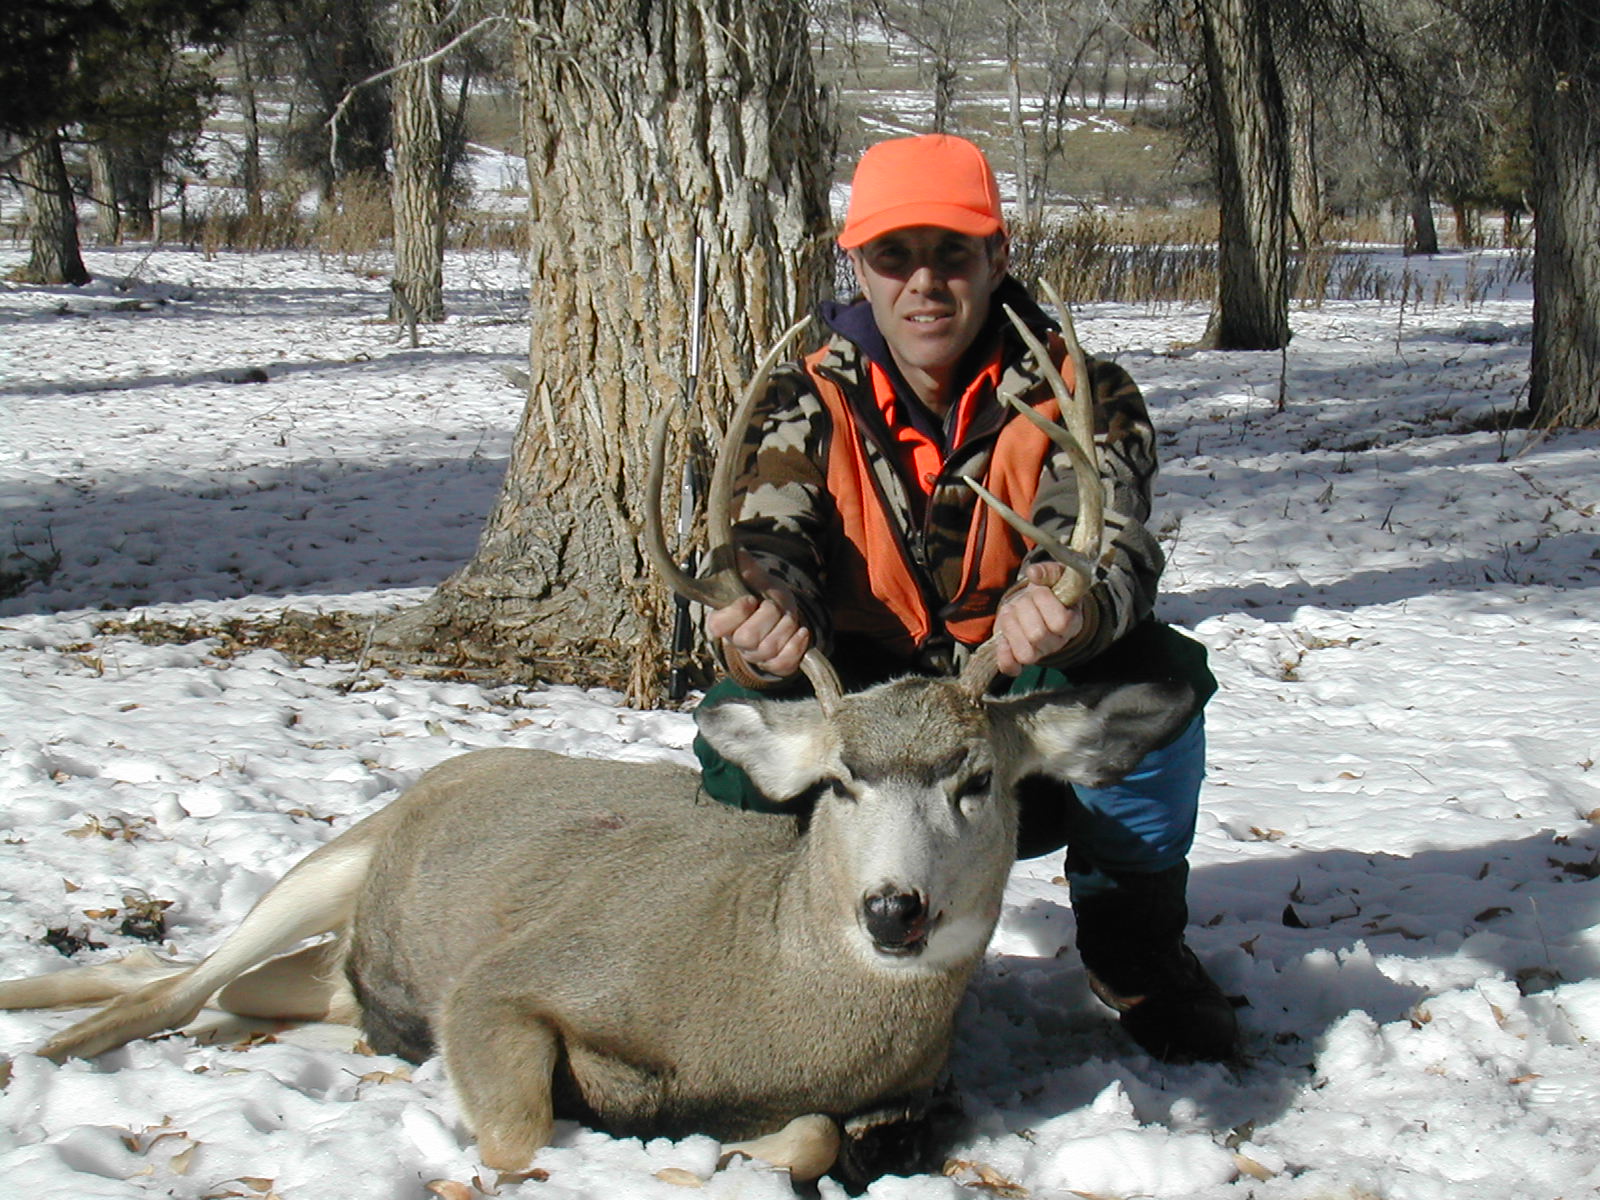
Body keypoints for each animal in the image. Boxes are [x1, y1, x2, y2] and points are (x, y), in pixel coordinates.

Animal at [0, 294, 1191, 1187]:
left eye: (978, 778)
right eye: (841, 783)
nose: (892, 909)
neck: (765, 1005)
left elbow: (810, 1136)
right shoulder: (505, 982)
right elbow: (520, 1135)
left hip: (333, 956)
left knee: (230, 987)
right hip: (342, 853)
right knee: (175, 984)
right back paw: (51, 1049)